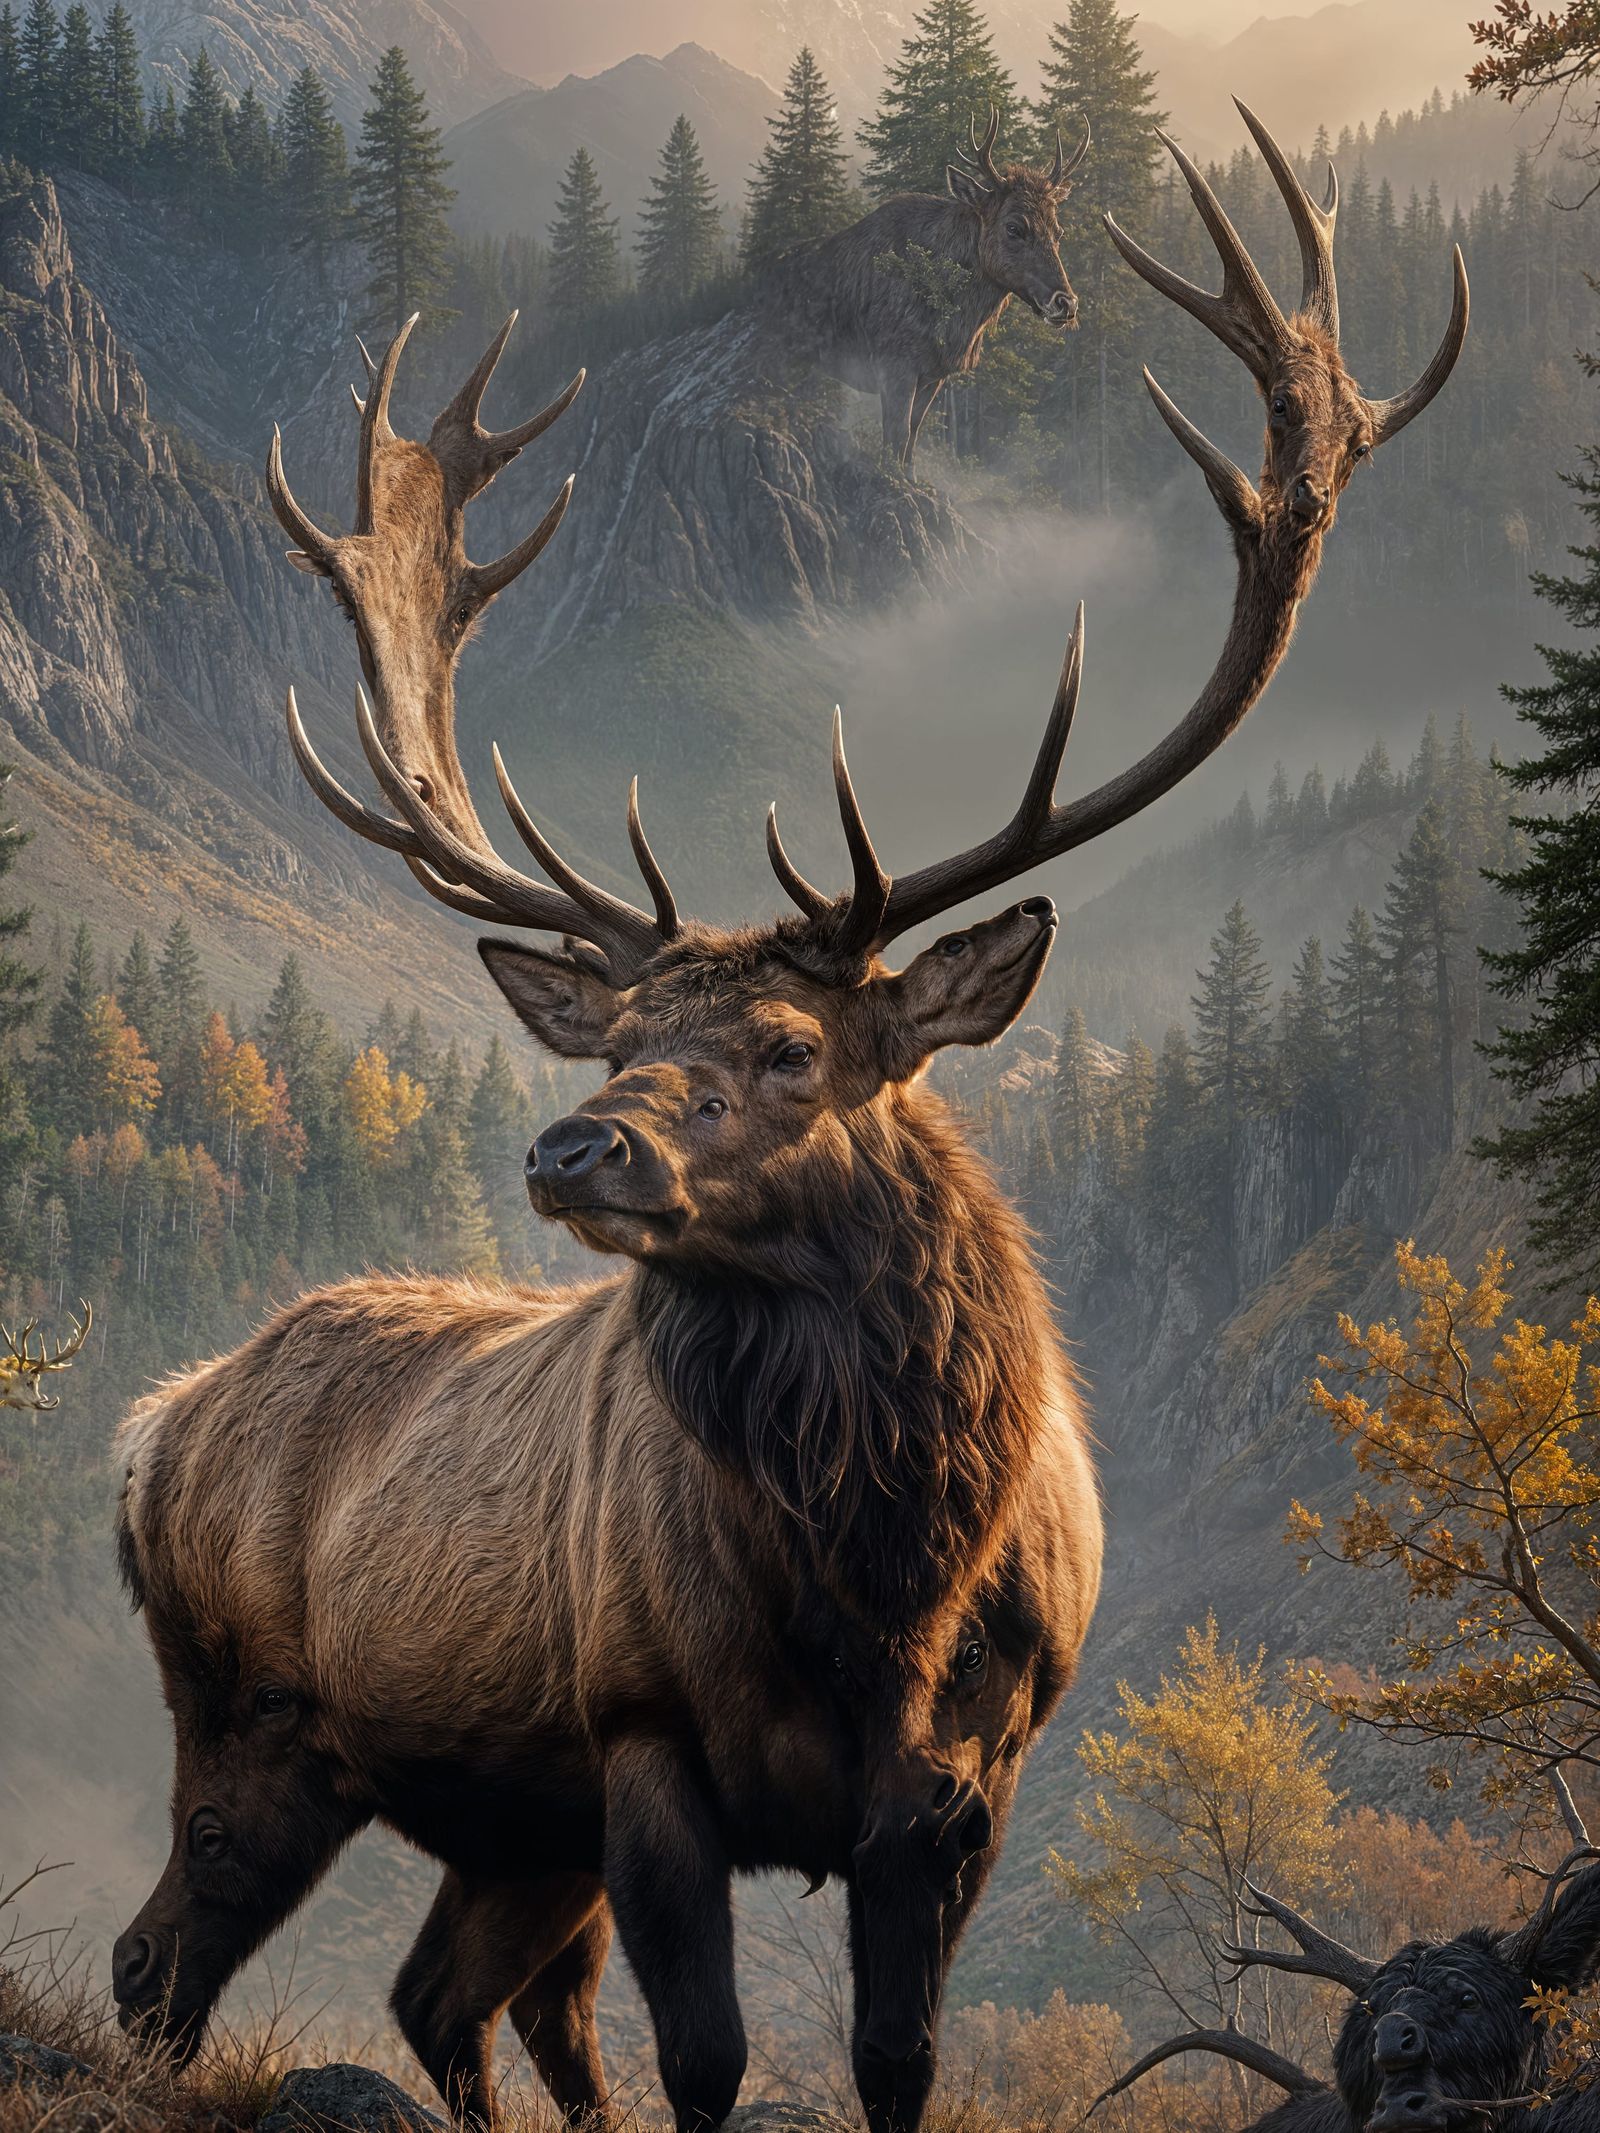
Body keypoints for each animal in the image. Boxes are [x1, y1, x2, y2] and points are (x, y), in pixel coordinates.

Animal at [762, 108, 1089, 473]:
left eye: (1058, 231)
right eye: (1014, 227)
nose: (1066, 303)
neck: (956, 320)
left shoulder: (935, 375)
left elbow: (914, 433)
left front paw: (909, 475)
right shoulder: (894, 363)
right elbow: (896, 433)